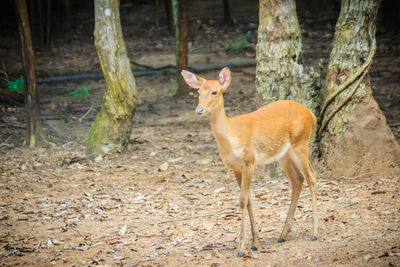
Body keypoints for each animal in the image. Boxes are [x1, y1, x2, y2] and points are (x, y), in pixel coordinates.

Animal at [181, 68, 318, 258]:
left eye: (215, 92)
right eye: (198, 92)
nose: (199, 109)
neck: (233, 136)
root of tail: (312, 115)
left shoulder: (249, 161)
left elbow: (242, 200)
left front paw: (241, 248)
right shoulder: (236, 168)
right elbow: (249, 201)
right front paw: (255, 243)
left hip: (300, 143)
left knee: (312, 177)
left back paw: (314, 233)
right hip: (284, 154)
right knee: (298, 179)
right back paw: (282, 234)